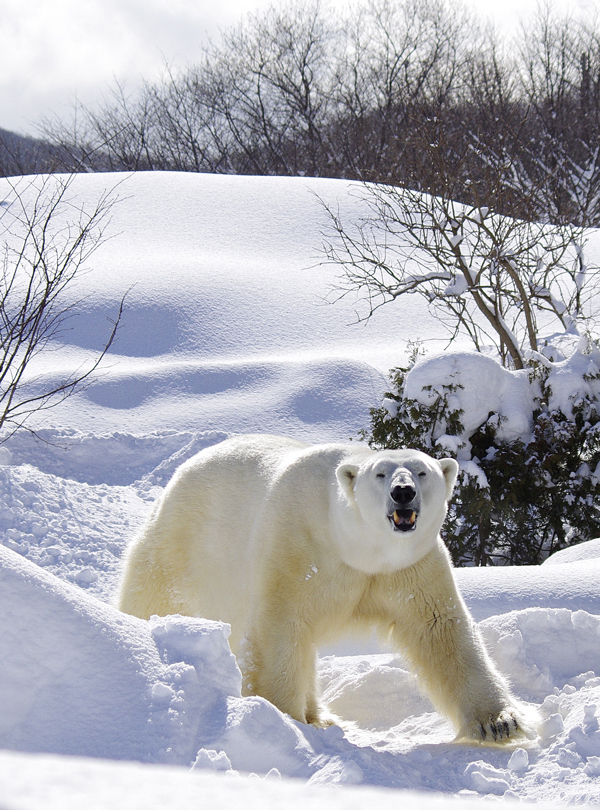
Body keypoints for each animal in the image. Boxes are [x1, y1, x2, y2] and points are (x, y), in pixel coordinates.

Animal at [117, 432, 528, 740]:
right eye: (381, 474)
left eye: (422, 471)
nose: (403, 492)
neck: (357, 548)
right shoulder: (298, 548)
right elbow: (281, 629)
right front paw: (285, 718)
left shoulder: (411, 567)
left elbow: (442, 629)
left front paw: (500, 722)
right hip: (184, 546)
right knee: (154, 598)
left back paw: (321, 715)